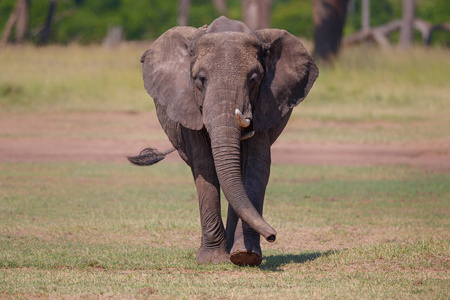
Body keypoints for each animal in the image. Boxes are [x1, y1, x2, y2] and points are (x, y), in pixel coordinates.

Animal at [129, 16, 320, 266]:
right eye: (200, 80)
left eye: (254, 79)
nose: (272, 235)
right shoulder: (188, 105)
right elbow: (205, 165)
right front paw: (212, 259)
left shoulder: (265, 104)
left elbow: (255, 165)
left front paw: (246, 256)